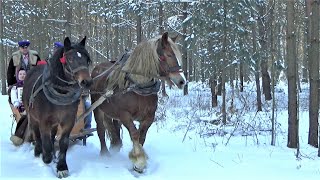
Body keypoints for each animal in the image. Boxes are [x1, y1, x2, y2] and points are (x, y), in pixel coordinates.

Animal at [22, 36, 92, 177]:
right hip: (32, 116)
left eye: (87, 60)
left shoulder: (68, 121)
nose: (86, 82)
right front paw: (46, 158)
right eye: (70, 59)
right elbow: (46, 141)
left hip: (54, 122)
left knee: (53, 133)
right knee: (36, 134)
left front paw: (61, 167)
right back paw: (38, 152)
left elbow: (63, 142)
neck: (61, 93)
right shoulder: (44, 121)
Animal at [90, 32, 185, 173]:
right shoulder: (125, 115)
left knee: (114, 127)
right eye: (166, 56)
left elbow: (142, 136)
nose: (182, 81)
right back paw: (105, 154)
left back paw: (115, 145)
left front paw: (139, 158)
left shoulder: (149, 116)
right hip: (97, 108)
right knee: (100, 129)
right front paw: (139, 160)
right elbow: (134, 134)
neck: (139, 86)